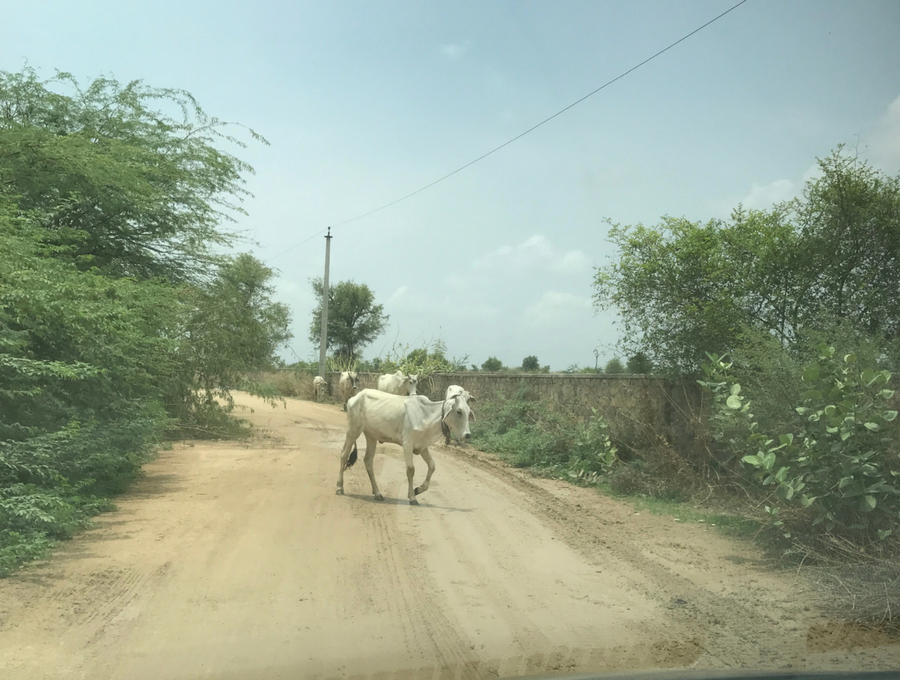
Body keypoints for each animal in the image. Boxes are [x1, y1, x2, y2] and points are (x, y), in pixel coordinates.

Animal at [336, 388, 474, 504]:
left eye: (468, 412)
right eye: (459, 411)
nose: (468, 435)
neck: (426, 416)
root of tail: (355, 397)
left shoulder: (422, 447)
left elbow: (432, 466)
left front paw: (418, 490)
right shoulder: (407, 443)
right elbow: (411, 469)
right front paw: (412, 497)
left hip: (371, 436)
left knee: (368, 461)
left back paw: (378, 493)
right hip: (353, 430)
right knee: (344, 454)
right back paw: (339, 487)